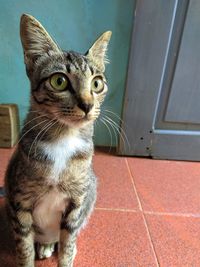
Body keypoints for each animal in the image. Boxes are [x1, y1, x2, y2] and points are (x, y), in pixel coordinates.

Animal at [4, 14, 111, 267]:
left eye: (97, 83)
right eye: (59, 81)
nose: (87, 105)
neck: (63, 139)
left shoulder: (75, 206)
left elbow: (67, 246)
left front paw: (67, 255)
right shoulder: (20, 203)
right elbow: (24, 249)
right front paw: (27, 256)